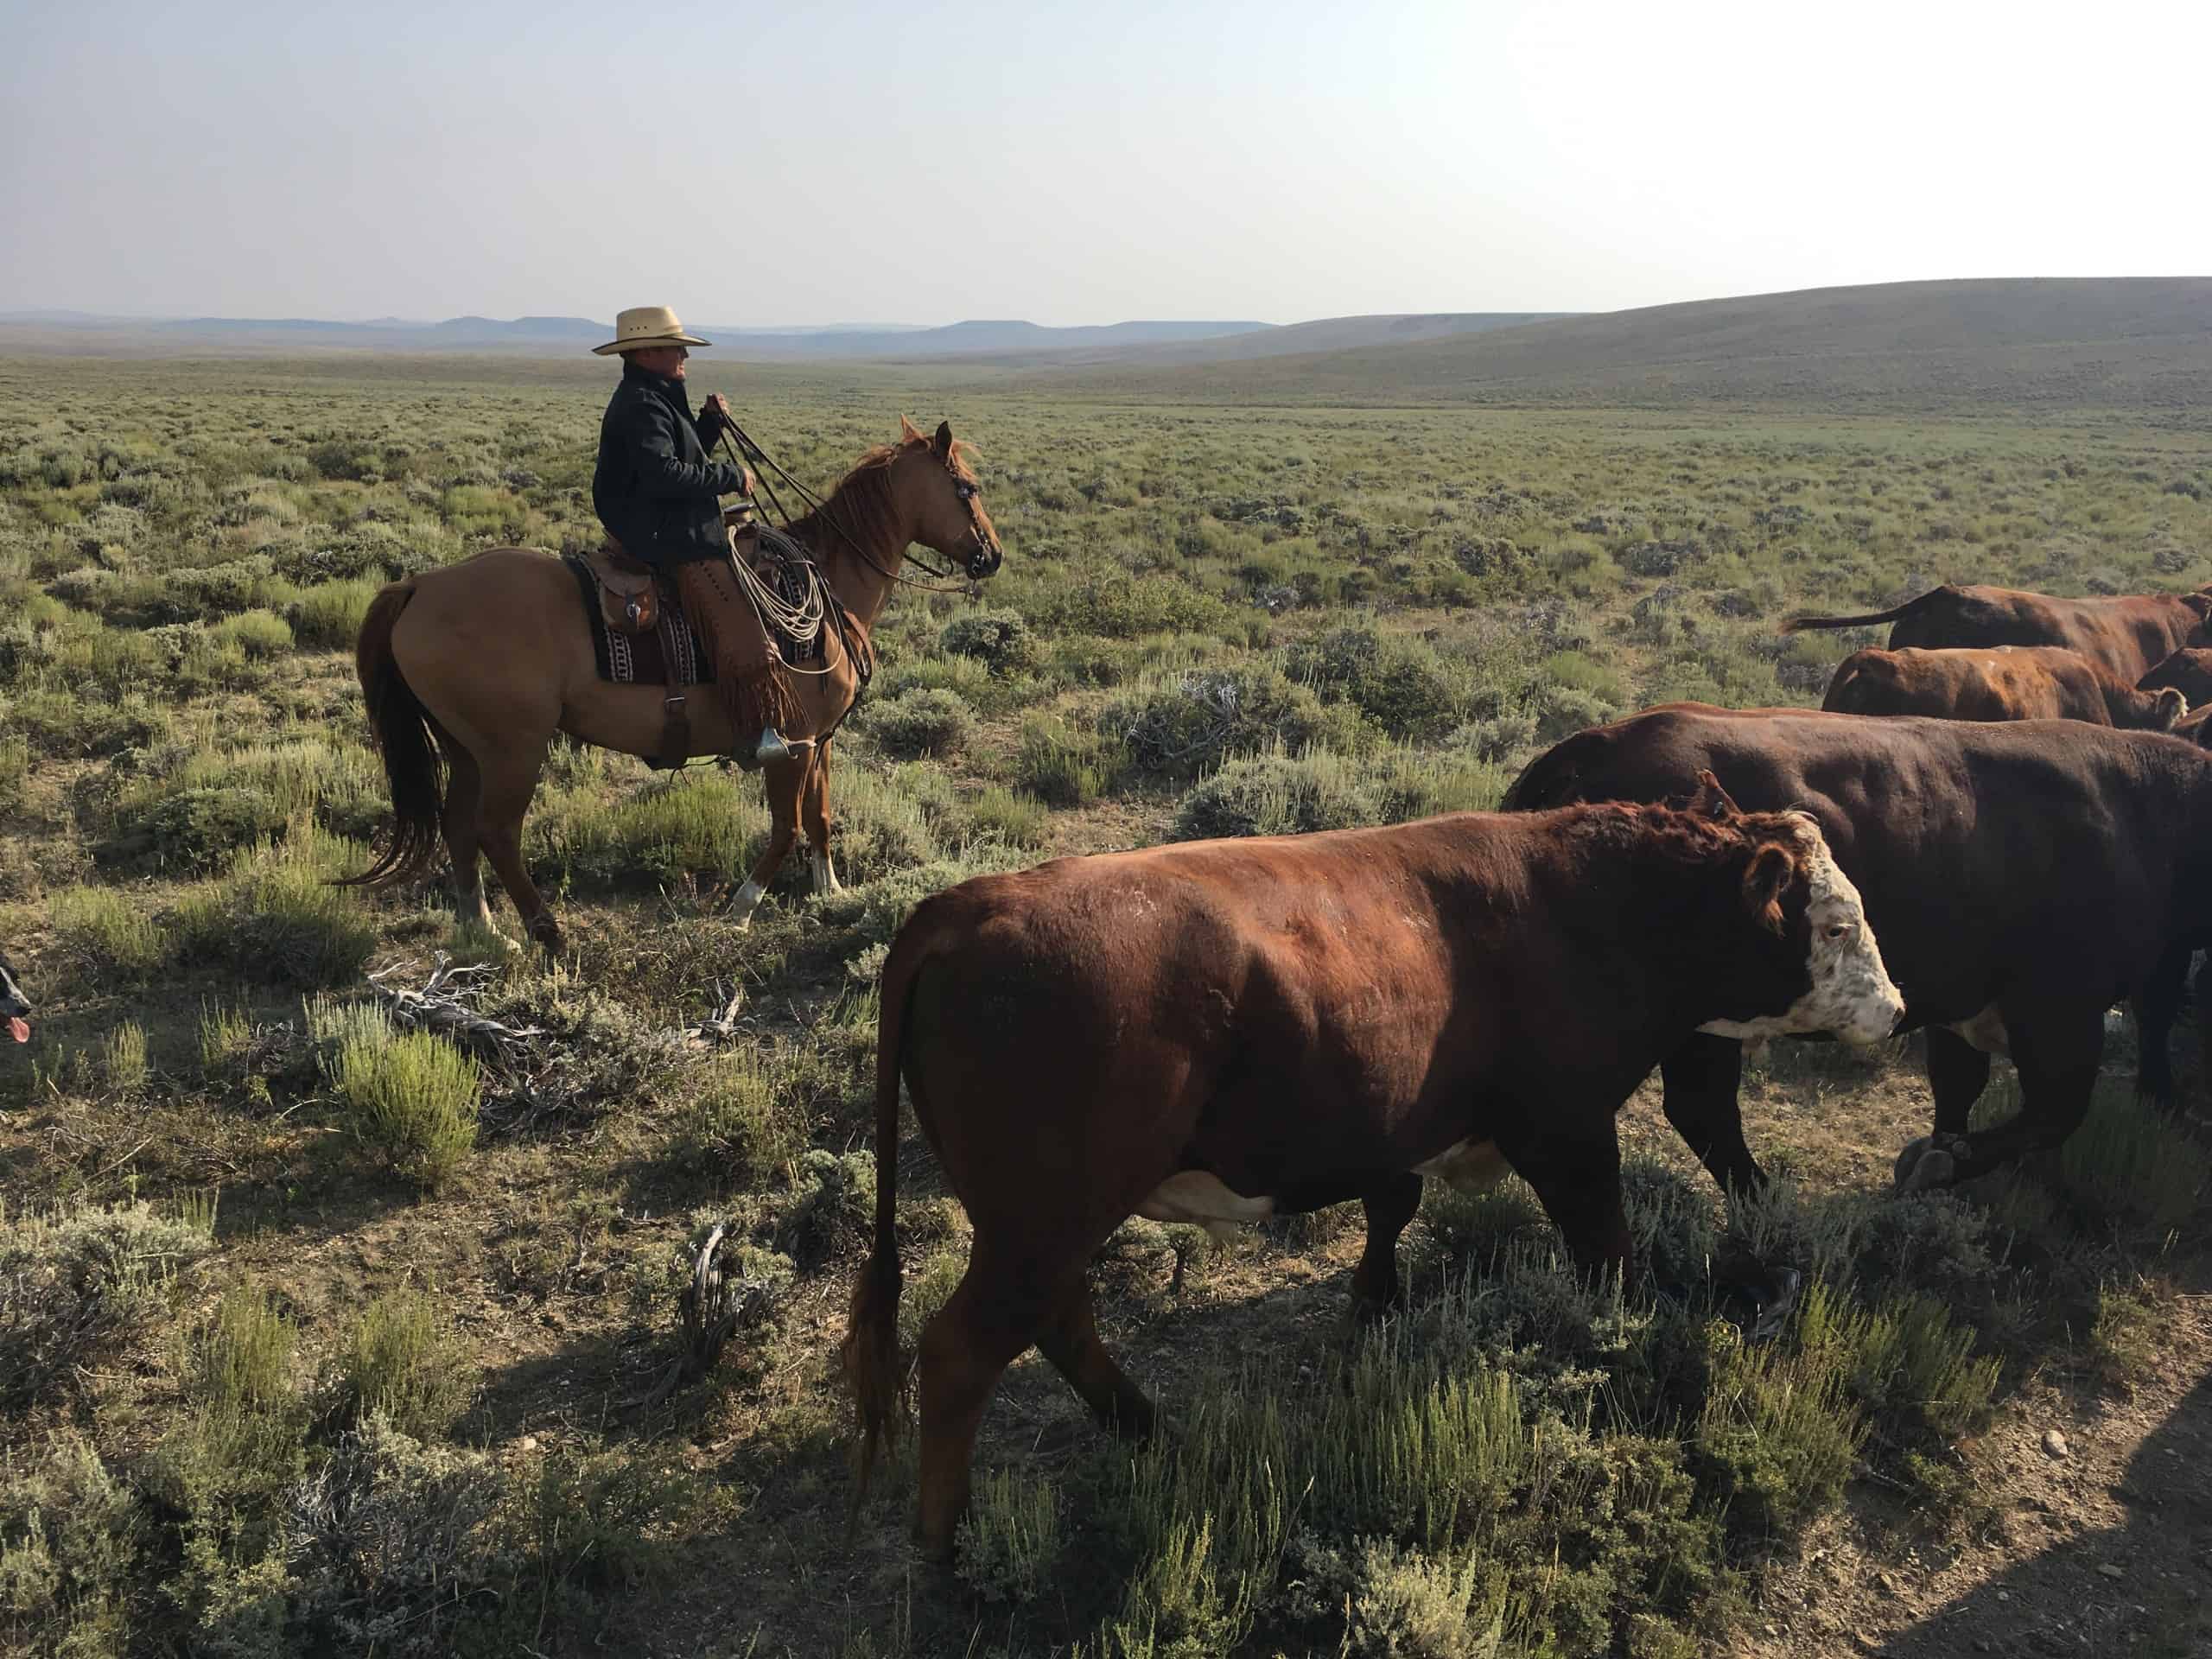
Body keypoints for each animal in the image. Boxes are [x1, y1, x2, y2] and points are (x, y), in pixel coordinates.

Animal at [842, 799, 1902, 1558]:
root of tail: (964, 909)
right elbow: (1607, 1251)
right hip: (1041, 1220)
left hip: (1040, 1223)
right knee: (964, 1352)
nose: (1895, 1011)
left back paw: (1151, 1431)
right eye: (1835, 925)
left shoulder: (1403, 1128)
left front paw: (1375, 1302)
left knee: (1057, 1323)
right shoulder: (1566, 1130)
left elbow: (1394, 1205)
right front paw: (1628, 1353)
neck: (1581, 912)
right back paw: (946, 1545)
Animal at [1503, 705, 2212, 1205]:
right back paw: (1768, 1204)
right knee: (1702, 1110)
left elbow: (1960, 1089)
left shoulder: (1964, 1001)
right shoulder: (2060, 1008)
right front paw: (1940, 1165)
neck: (2146, 808)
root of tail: (1587, 747)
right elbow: (2056, 1111)